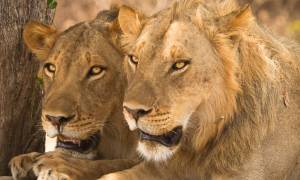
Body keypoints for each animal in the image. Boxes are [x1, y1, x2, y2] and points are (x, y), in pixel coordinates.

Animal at [9, 9, 138, 180]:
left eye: (96, 70)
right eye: (51, 68)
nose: (55, 119)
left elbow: (117, 163)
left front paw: (57, 165)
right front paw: (30, 159)